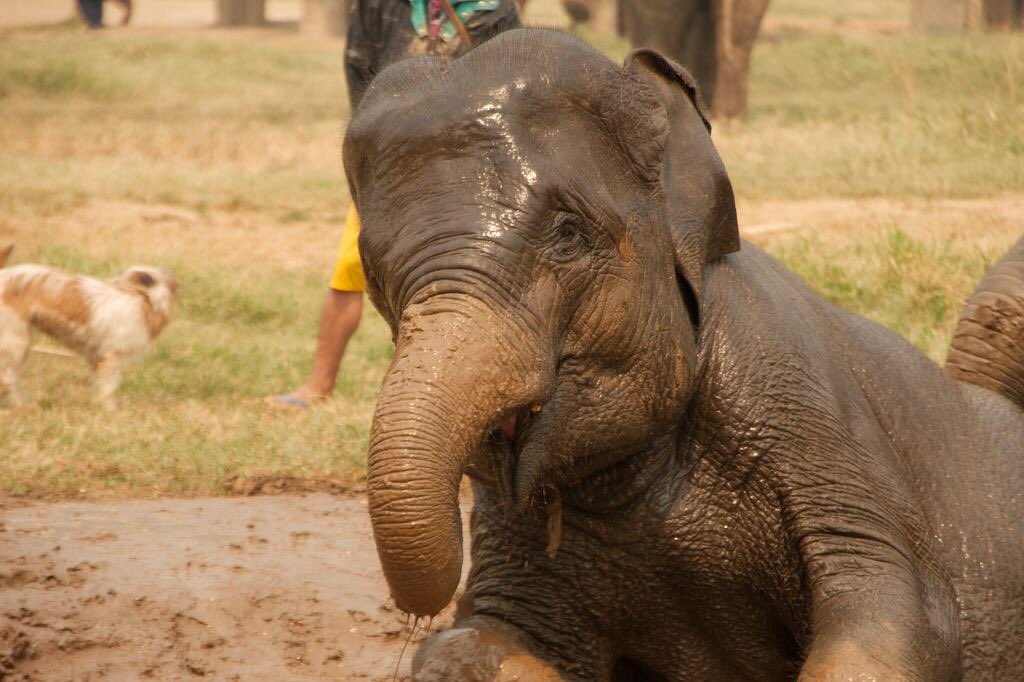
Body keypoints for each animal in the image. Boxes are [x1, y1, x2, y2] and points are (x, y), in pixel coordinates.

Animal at [344, 29, 1024, 681]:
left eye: (567, 234)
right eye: (373, 272)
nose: (412, 613)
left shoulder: (803, 401)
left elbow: (893, 621)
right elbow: (476, 642)